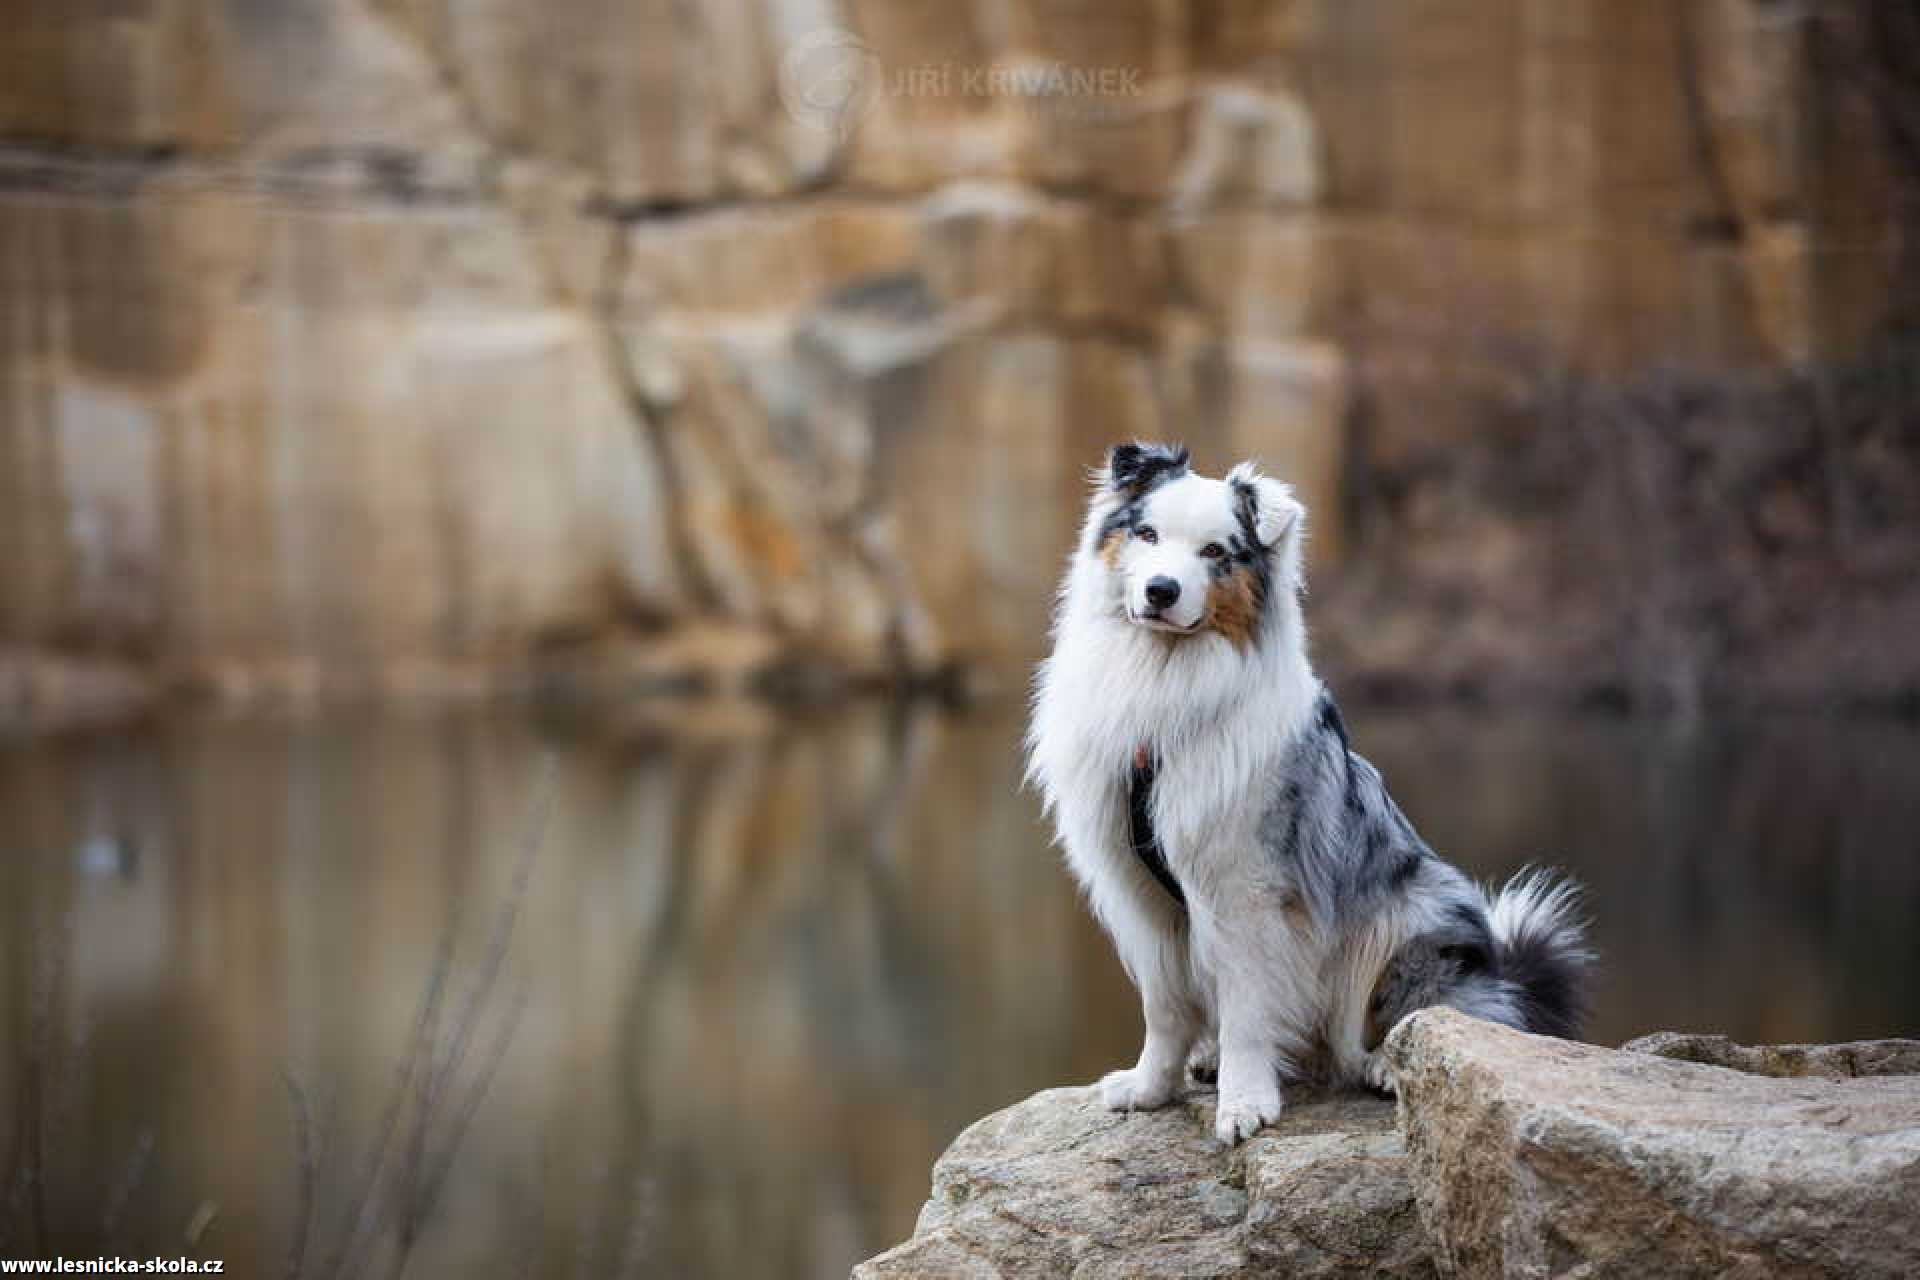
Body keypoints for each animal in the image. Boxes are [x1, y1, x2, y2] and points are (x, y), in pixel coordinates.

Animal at [1029, 445, 1597, 1143]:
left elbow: (1247, 1009)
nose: (1161, 590)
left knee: (1430, 1022)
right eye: (1148, 534)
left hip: (1407, 917)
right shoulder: (1140, 894)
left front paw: (1245, 1103)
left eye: (1215, 552)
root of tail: (1506, 979)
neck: (1164, 679)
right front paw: (1152, 1088)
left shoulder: (1246, 892)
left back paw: (1385, 1063)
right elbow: (1163, 1008)